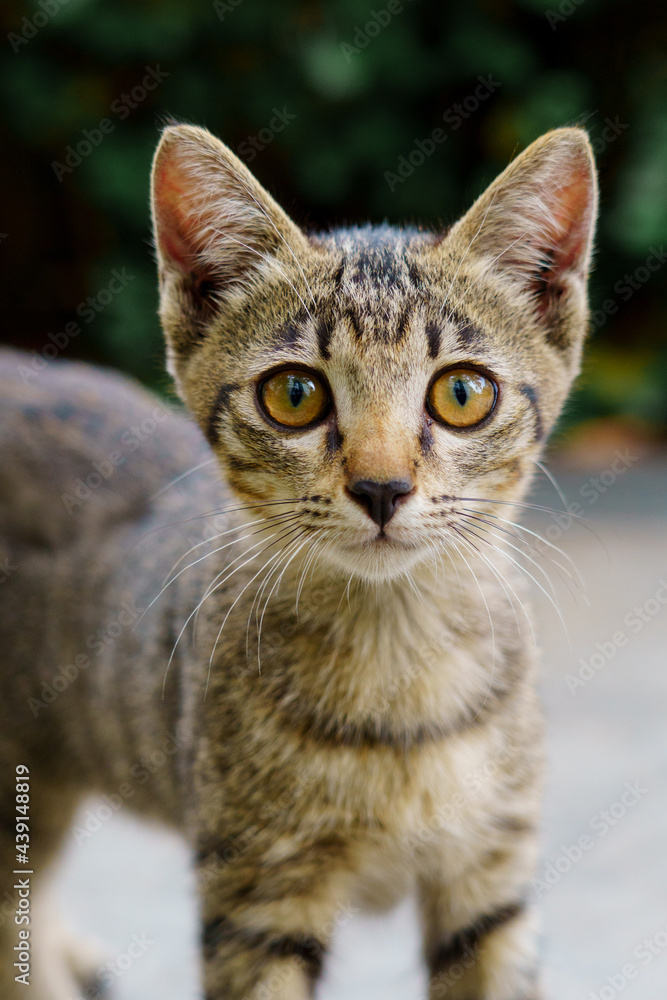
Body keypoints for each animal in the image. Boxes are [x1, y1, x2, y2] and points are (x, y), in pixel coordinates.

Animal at [0, 127, 596, 1000]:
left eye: (461, 394)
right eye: (293, 395)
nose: (381, 487)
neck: (395, 666)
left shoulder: (488, 879)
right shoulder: (257, 896)